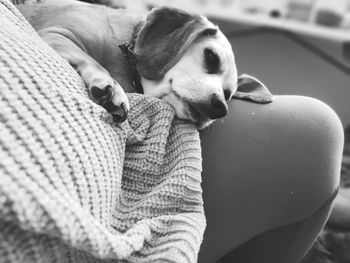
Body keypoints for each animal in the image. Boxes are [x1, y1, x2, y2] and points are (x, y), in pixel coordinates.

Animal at [16, 0, 274, 129]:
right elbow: (92, 61)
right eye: (211, 57)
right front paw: (111, 87)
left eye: (228, 94)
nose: (220, 108)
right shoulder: (56, 33)